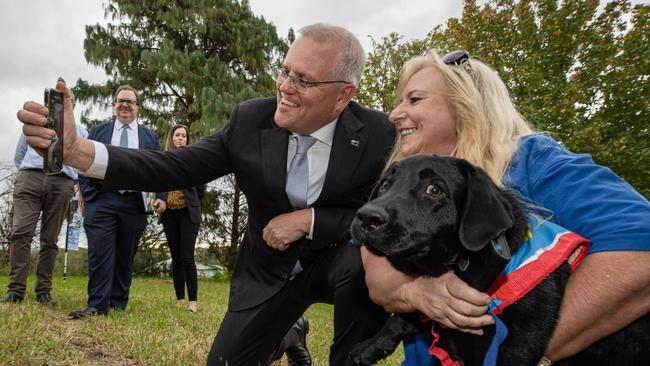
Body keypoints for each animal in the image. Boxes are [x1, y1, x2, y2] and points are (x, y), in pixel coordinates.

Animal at [350, 155, 648, 366]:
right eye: (385, 185)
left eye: (434, 190)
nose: (365, 217)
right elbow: (407, 313)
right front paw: (373, 345)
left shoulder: (513, 346)